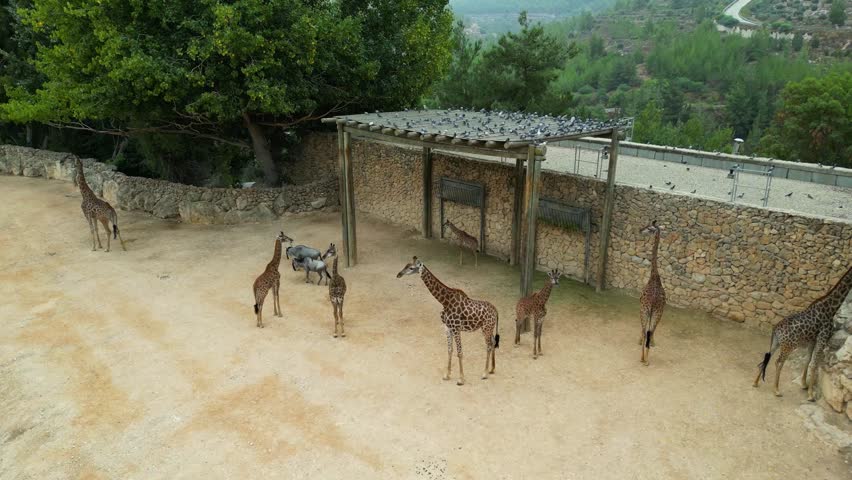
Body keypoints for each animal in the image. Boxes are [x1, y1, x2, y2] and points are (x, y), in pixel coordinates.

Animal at [397, 257, 499, 385]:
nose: (399, 274)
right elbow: (450, 350)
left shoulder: (456, 328)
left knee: (489, 345)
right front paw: (447, 375)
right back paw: (492, 369)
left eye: (411, 268)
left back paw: (484, 373)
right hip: (488, 328)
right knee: (493, 342)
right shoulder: (447, 327)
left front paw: (461, 379)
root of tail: (496, 311)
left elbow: (459, 352)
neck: (444, 302)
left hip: (486, 328)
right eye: (406, 265)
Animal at [754, 264, 852, 400]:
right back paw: (776, 390)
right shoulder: (822, 338)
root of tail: (776, 329)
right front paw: (810, 395)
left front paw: (804, 384)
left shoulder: (812, 340)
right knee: (778, 362)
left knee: (767, 357)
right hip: (788, 346)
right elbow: (814, 364)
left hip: (776, 343)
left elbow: (808, 360)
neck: (830, 308)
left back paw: (755, 382)